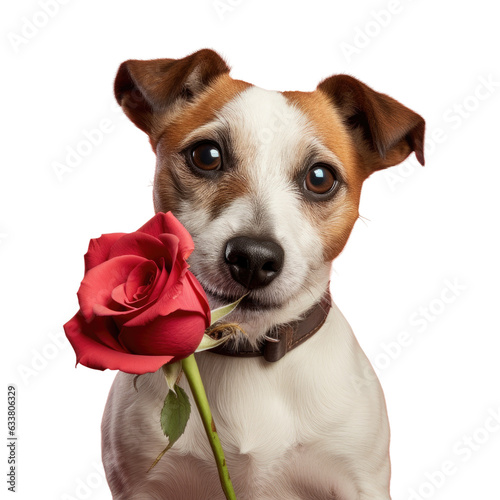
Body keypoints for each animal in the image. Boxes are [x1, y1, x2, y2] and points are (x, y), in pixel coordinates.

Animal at [102, 47, 426, 500]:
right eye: (207, 156)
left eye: (320, 178)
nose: (253, 258)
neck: (249, 351)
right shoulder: (140, 484)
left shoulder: (361, 482)